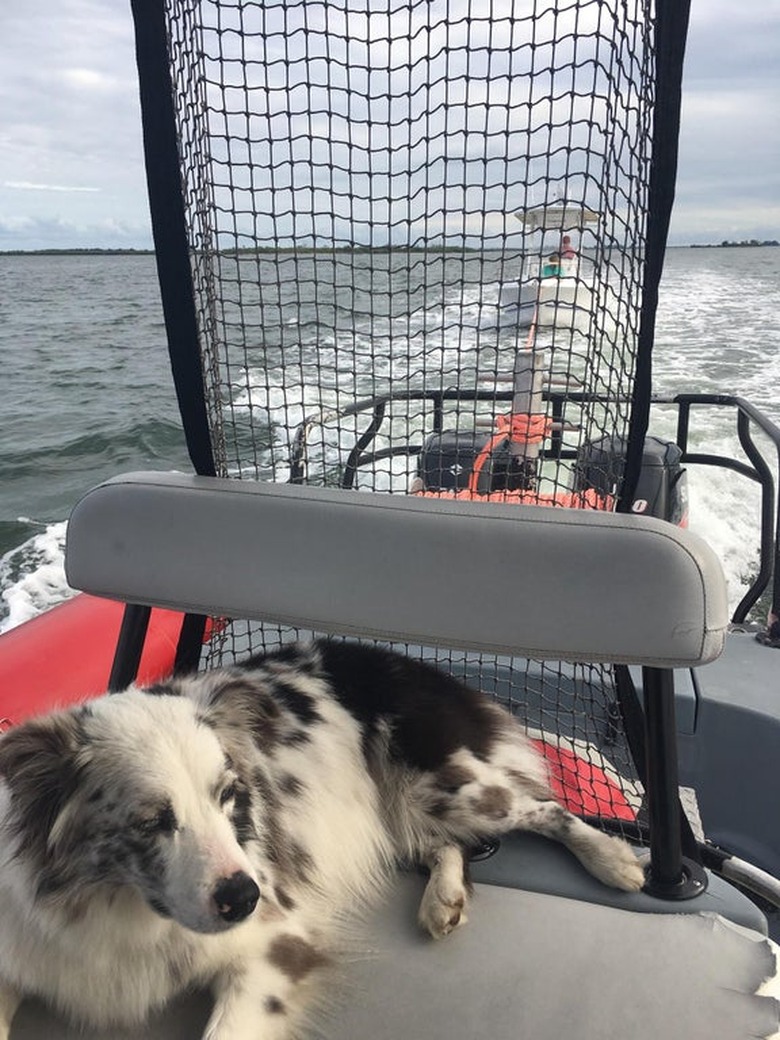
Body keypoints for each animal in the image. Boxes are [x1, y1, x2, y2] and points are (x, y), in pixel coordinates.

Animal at [0, 640, 648, 1040]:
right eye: (148, 820)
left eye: (228, 795)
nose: (244, 899)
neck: (113, 907)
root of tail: (423, 669)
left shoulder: (276, 941)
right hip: (397, 812)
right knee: (443, 844)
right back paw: (442, 900)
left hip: (442, 786)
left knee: (544, 808)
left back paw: (613, 859)